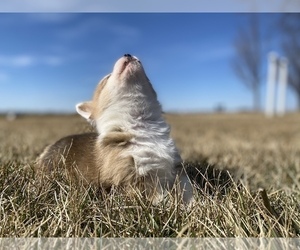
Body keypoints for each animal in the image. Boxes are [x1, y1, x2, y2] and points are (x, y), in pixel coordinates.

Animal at [37, 54, 193, 203]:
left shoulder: (177, 168)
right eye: (107, 77)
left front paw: (191, 205)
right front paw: (168, 204)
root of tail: (47, 150)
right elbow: (159, 198)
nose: (128, 53)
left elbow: (187, 188)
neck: (140, 122)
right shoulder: (135, 179)